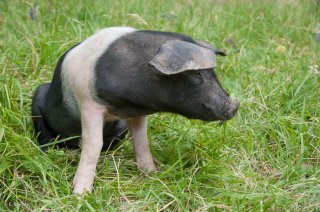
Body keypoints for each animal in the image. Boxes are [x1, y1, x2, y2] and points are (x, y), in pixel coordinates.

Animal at [31, 26, 240, 194]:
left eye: (213, 73)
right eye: (195, 74)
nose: (234, 106)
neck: (131, 103)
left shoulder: (136, 114)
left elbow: (141, 140)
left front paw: (152, 174)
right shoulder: (88, 103)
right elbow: (93, 145)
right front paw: (80, 194)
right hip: (38, 98)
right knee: (46, 135)